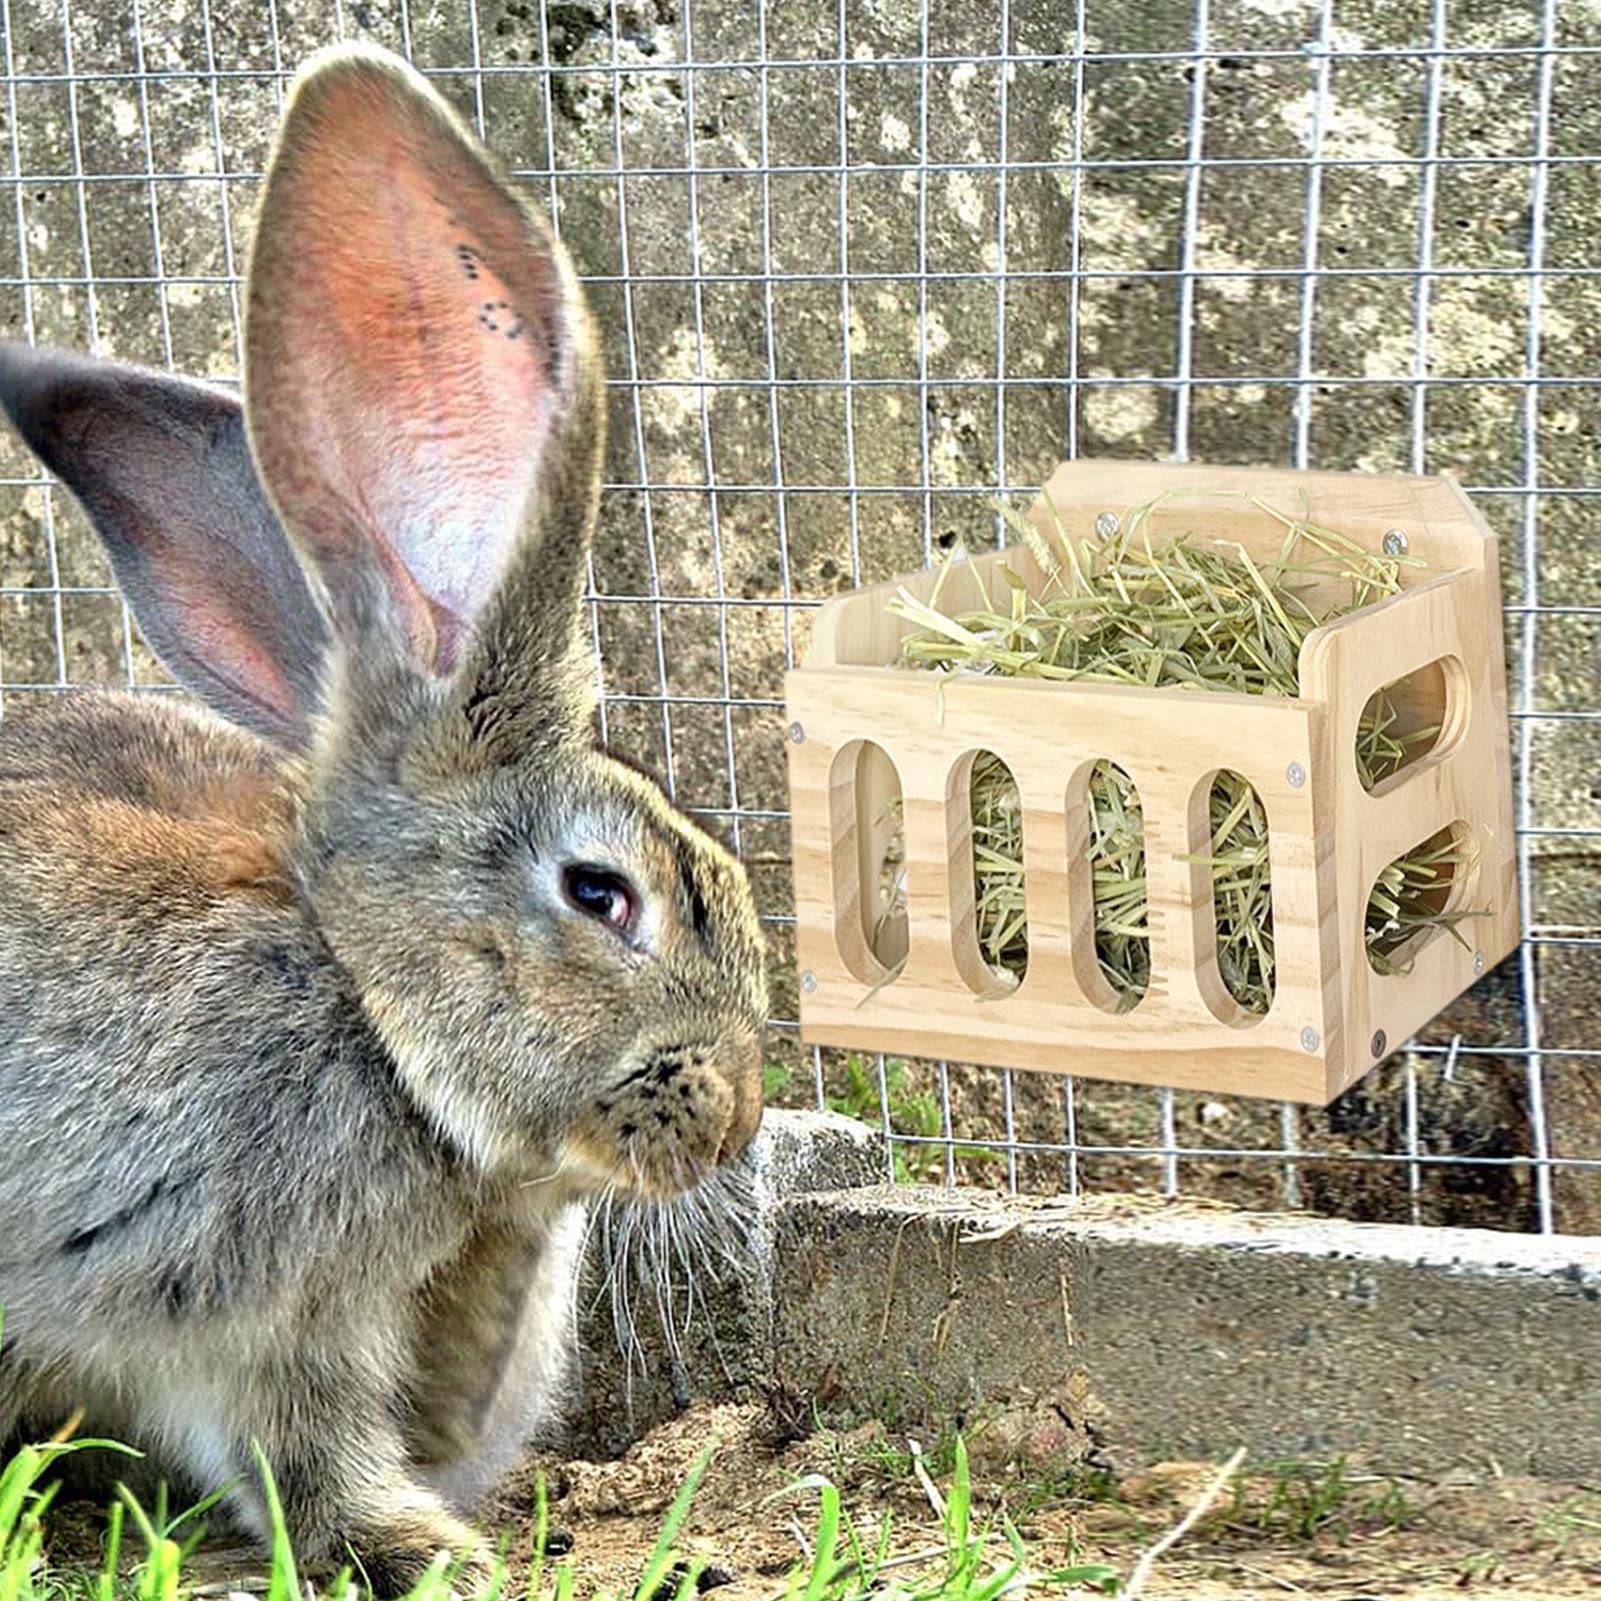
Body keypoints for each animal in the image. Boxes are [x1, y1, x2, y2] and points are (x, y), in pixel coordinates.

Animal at [0, 41, 767, 1593]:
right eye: (601, 894)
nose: (736, 1116)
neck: (361, 1000)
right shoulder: (252, 1306)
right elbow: (298, 1448)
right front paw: (423, 1547)